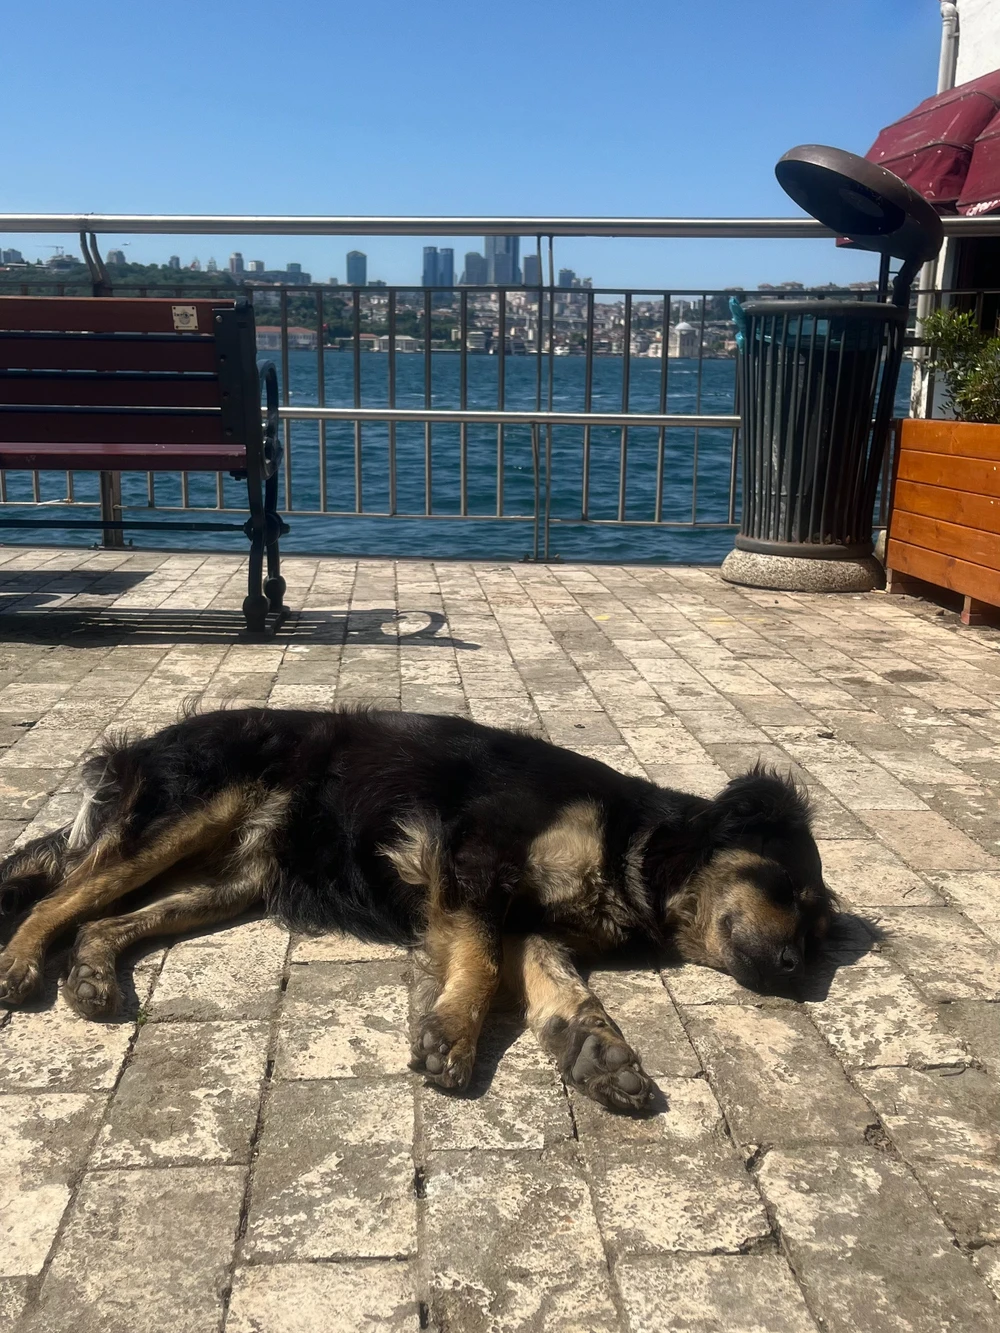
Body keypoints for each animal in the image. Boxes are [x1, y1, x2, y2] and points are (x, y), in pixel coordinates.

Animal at [0, 707, 832, 1112]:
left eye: (820, 931)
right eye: (790, 890)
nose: (796, 969)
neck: (634, 844)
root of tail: (148, 741)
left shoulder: (528, 921)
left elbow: (562, 988)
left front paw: (596, 1049)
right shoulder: (470, 857)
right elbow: (483, 961)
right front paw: (453, 1031)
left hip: (229, 879)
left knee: (104, 917)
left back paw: (93, 974)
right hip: (185, 817)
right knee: (60, 896)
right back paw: (20, 961)